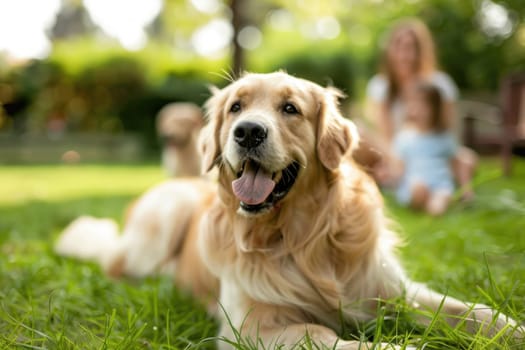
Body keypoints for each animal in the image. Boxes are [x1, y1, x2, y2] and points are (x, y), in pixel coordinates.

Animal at [55, 72, 520, 348]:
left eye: (290, 108)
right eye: (236, 107)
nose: (247, 132)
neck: (300, 238)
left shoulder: (393, 289)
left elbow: (466, 310)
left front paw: (512, 330)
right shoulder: (251, 327)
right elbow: (322, 333)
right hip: (162, 223)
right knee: (116, 265)